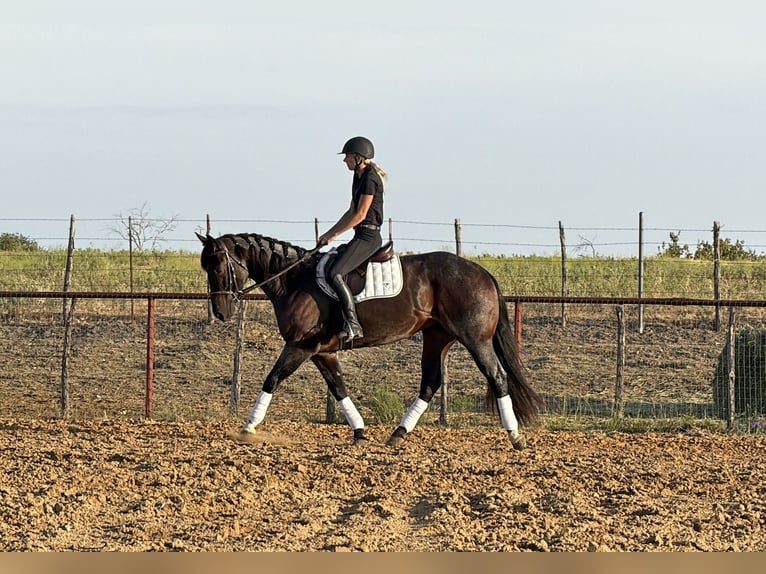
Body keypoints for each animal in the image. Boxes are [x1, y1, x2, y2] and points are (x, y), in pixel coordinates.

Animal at [197, 232, 542, 450]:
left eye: (218, 266)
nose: (221, 311)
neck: (294, 281)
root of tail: (481, 273)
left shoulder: (301, 346)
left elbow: (272, 379)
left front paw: (248, 428)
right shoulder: (322, 352)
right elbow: (338, 388)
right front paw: (360, 431)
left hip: (475, 338)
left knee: (497, 376)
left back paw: (515, 437)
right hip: (437, 336)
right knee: (430, 383)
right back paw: (398, 434)